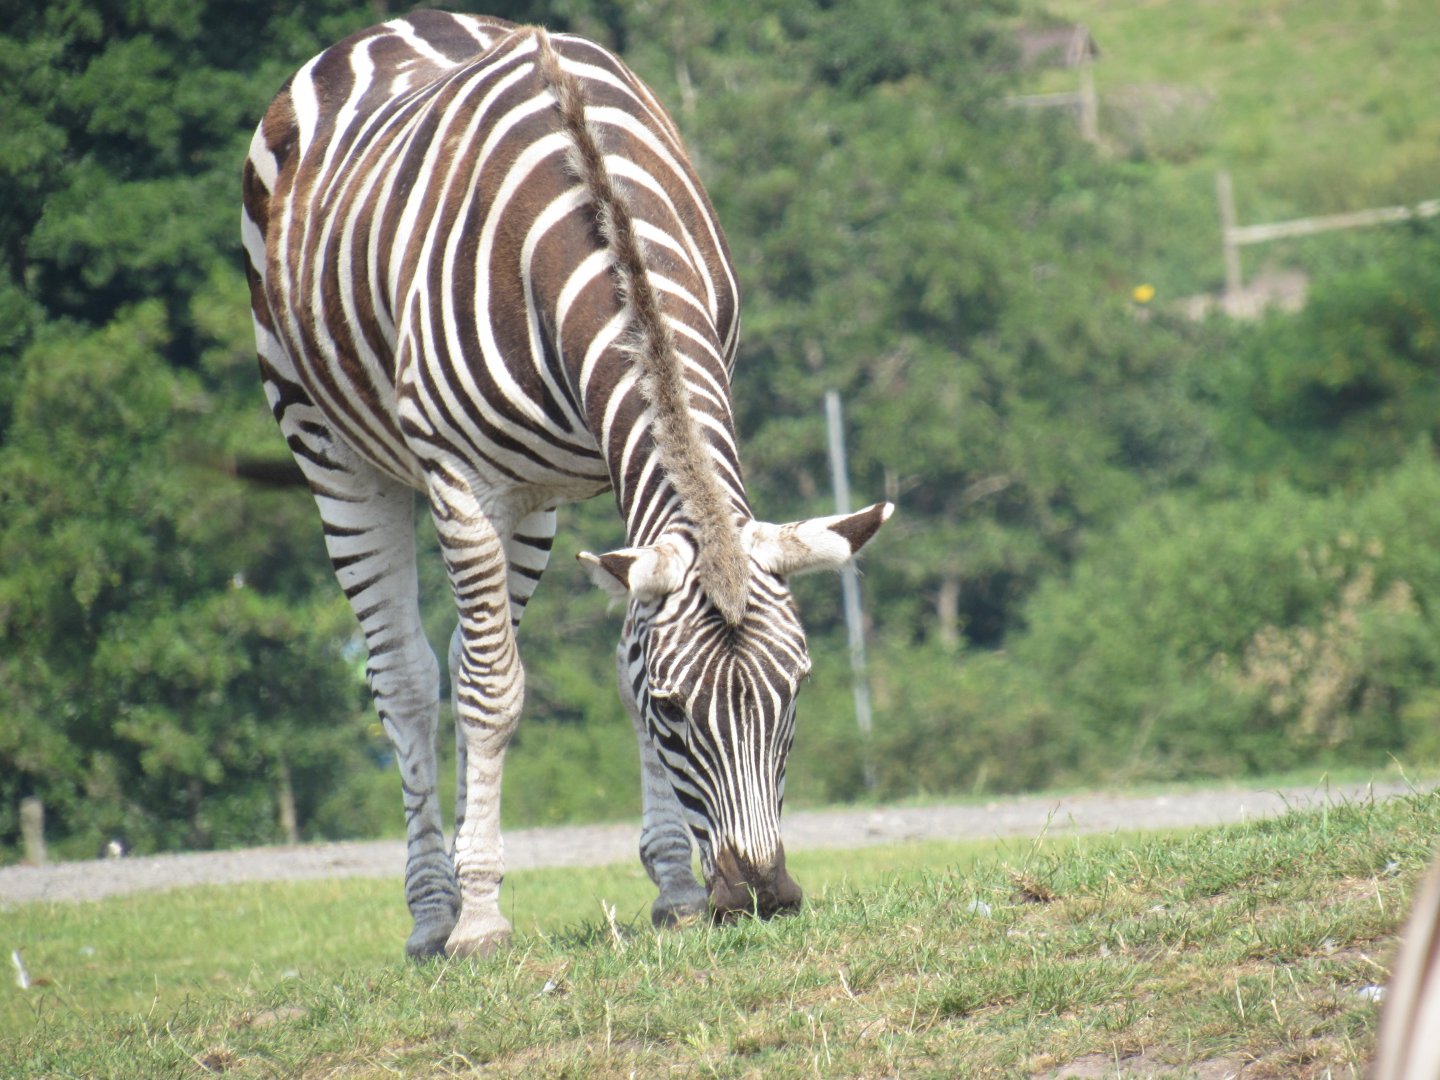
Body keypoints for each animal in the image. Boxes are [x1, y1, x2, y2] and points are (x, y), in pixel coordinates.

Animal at [242, 11, 891, 958]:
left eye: (797, 690)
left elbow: (619, 657)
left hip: (535, 499)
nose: (761, 897)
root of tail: (398, 23)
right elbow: (492, 695)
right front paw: (481, 917)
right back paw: (433, 914)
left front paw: (674, 890)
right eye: (676, 713)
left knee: (465, 652)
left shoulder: (628, 480)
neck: (607, 229)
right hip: (330, 446)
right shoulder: (465, 482)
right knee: (409, 679)